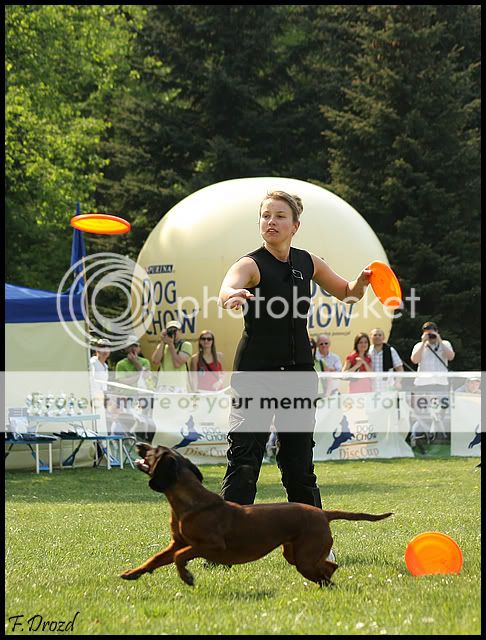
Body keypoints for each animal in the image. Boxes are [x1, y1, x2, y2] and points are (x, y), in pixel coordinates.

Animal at [120, 444, 392, 587]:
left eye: (155, 451)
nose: (140, 444)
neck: (189, 502)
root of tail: (323, 513)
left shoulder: (210, 545)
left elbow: (179, 558)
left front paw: (186, 576)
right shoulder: (177, 543)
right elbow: (155, 559)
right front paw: (133, 573)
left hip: (304, 557)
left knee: (328, 568)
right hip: (295, 554)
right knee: (329, 566)